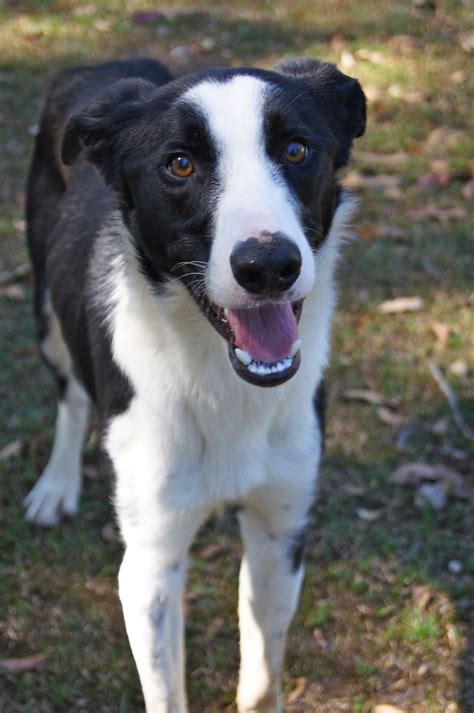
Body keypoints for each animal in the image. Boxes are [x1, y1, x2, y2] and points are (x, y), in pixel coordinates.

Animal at [24, 57, 366, 712]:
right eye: (179, 164)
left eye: (296, 148)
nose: (268, 266)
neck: (219, 380)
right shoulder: (150, 565)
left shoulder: (280, 530)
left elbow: (262, 677)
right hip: (47, 310)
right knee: (71, 394)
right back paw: (55, 484)